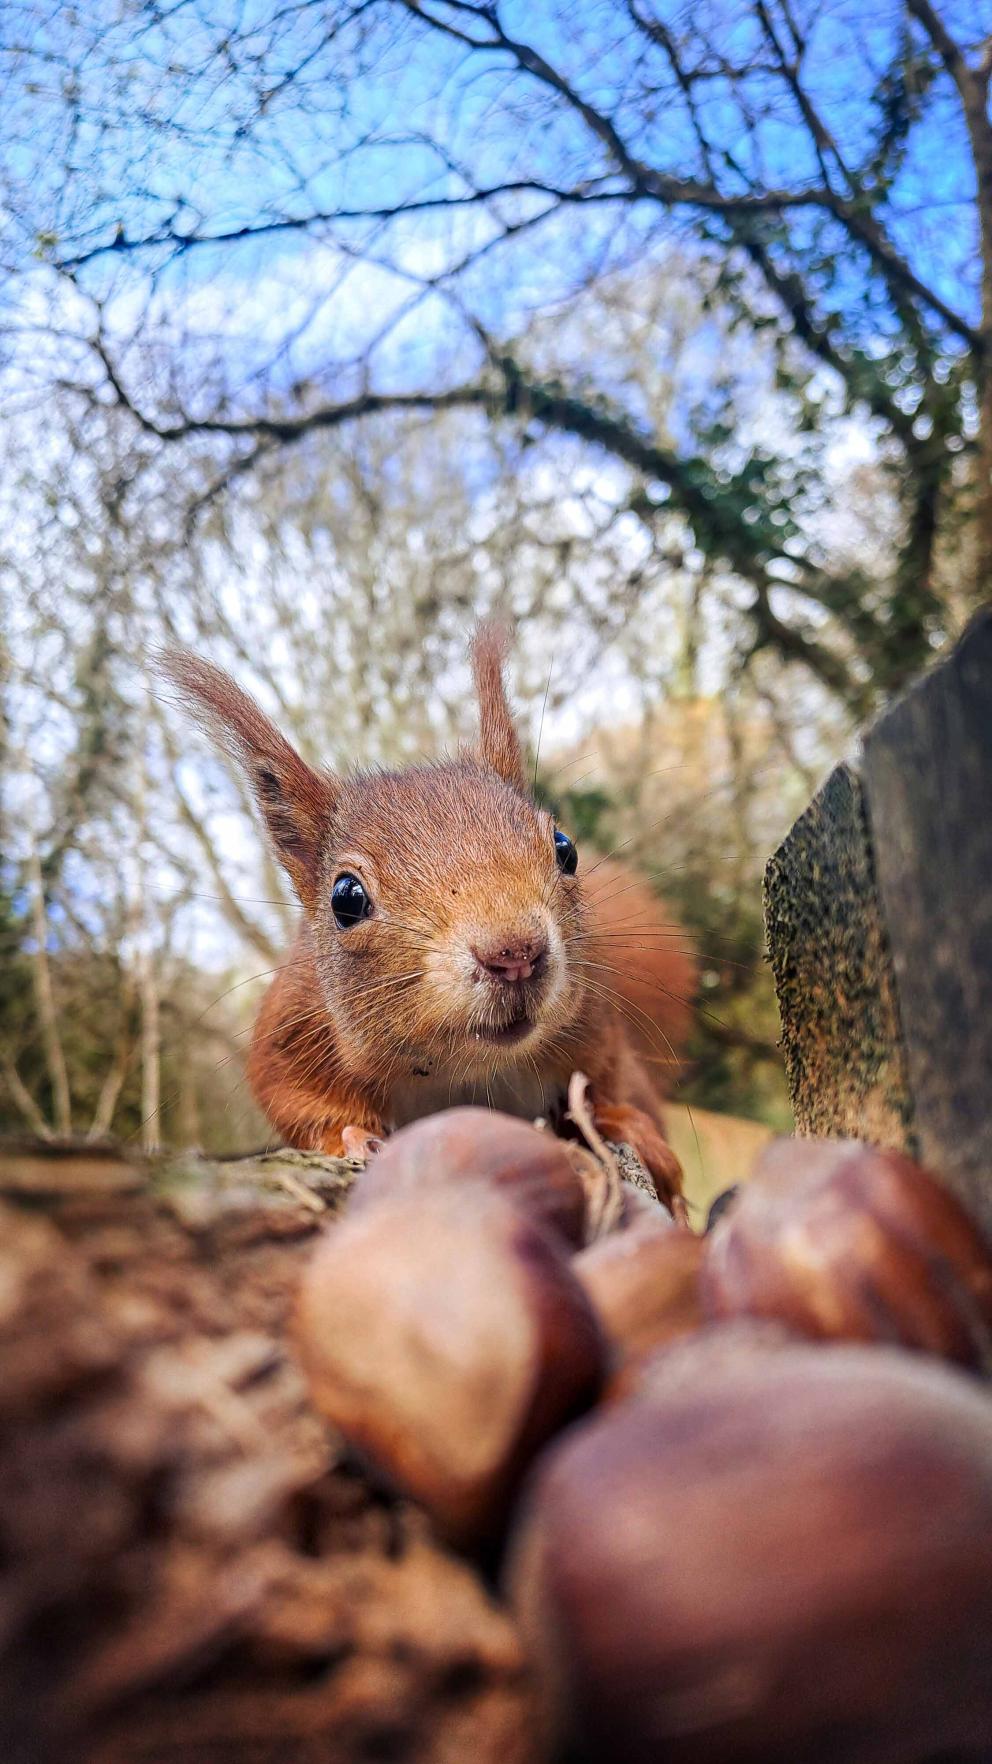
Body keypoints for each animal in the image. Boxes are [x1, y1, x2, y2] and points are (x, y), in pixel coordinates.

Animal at [164, 624, 695, 1213]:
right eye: (345, 898)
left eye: (565, 848)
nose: (514, 954)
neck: (461, 1071)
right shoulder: (292, 1033)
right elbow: (295, 1104)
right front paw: (353, 1137)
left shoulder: (595, 1028)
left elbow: (608, 1087)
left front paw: (625, 1126)